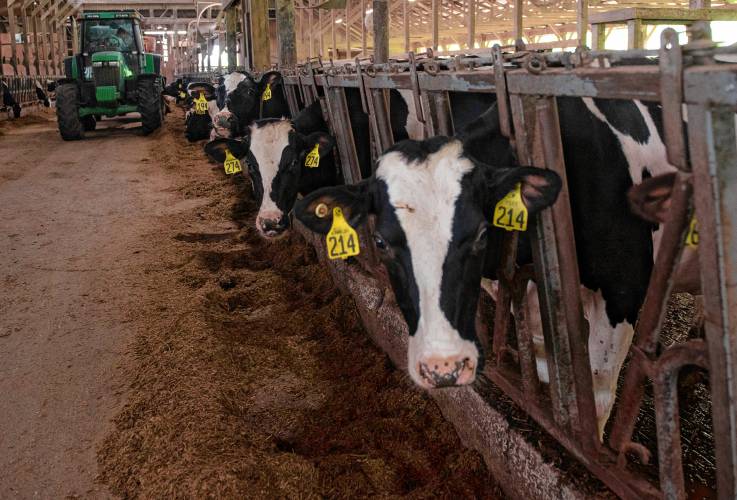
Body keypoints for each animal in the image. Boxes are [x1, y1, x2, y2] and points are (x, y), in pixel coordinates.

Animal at [296, 94, 688, 438]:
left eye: (482, 232)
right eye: (380, 242)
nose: (443, 367)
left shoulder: (625, 290)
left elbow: (599, 392)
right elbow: (540, 346)